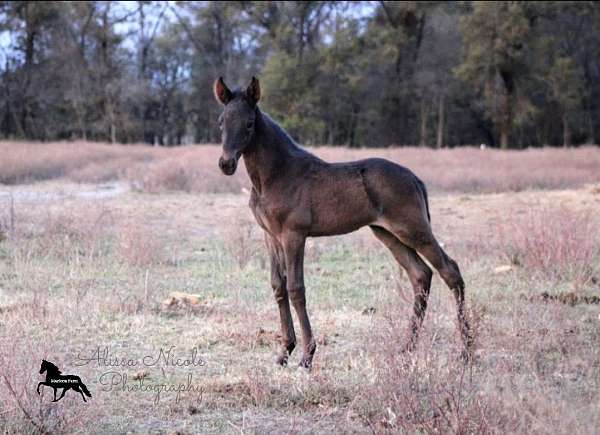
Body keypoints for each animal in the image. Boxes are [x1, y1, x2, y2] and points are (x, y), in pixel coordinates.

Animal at [213, 76, 472, 370]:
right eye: (221, 121)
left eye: (249, 123)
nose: (226, 163)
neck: (276, 175)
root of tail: (415, 179)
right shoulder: (271, 235)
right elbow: (278, 286)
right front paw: (284, 352)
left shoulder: (294, 234)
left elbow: (296, 288)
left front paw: (307, 355)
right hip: (388, 234)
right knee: (420, 275)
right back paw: (407, 348)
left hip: (413, 229)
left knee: (450, 271)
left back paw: (466, 352)